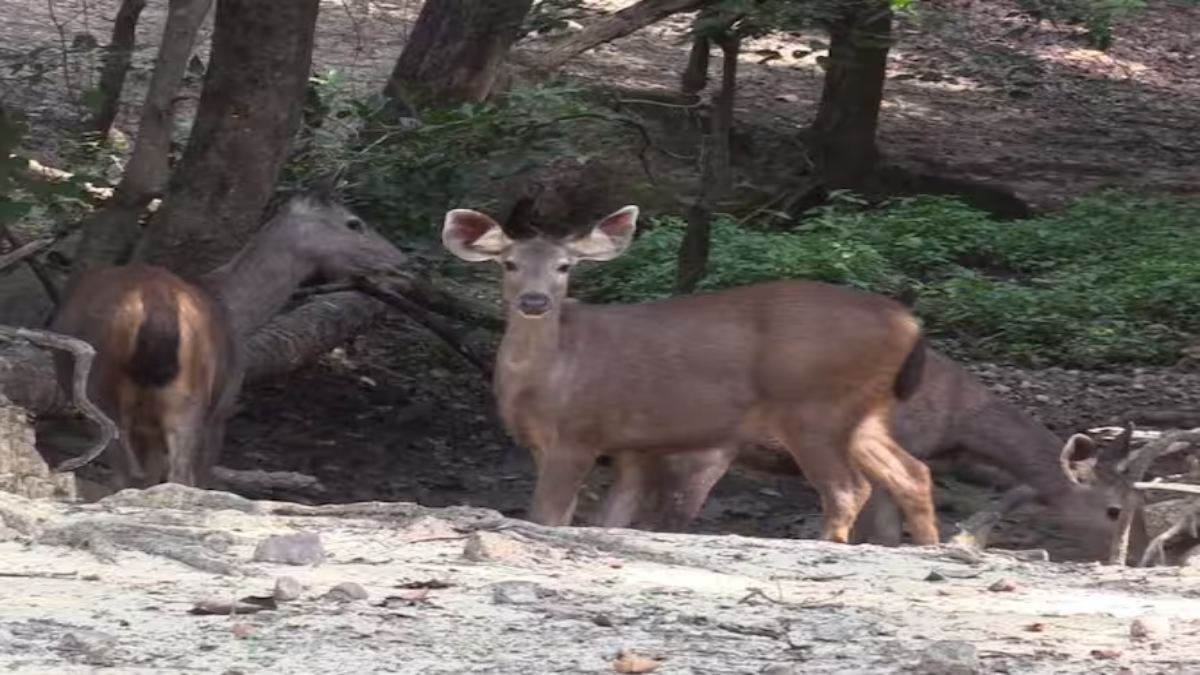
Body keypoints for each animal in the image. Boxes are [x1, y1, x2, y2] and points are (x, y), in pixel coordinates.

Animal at [50, 183, 408, 487]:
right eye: (354, 223)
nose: (402, 261)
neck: (234, 311)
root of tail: (155, 307)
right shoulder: (223, 406)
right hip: (189, 398)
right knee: (179, 477)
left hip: (106, 399)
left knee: (128, 474)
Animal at [439, 204, 936, 540]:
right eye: (509, 263)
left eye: (565, 267)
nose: (535, 301)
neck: (547, 378)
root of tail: (911, 323)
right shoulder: (617, 446)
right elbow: (606, 520)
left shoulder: (580, 432)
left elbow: (548, 516)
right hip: (863, 412)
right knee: (912, 473)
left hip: (814, 408)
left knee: (847, 488)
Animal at [600, 348, 1142, 559]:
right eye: (1114, 510)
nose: (1124, 559)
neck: (959, 424)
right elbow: (882, 533)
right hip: (705, 449)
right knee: (670, 518)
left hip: (635, 450)